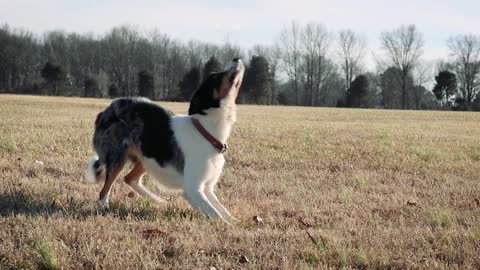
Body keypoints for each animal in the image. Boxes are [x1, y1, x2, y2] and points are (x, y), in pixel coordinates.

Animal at [84, 58, 246, 223]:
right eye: (216, 76)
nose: (236, 58)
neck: (205, 131)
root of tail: (106, 110)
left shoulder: (207, 187)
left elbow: (221, 209)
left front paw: (237, 221)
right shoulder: (193, 189)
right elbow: (216, 214)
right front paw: (229, 226)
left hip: (148, 157)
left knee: (130, 178)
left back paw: (158, 200)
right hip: (118, 156)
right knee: (105, 190)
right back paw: (105, 207)